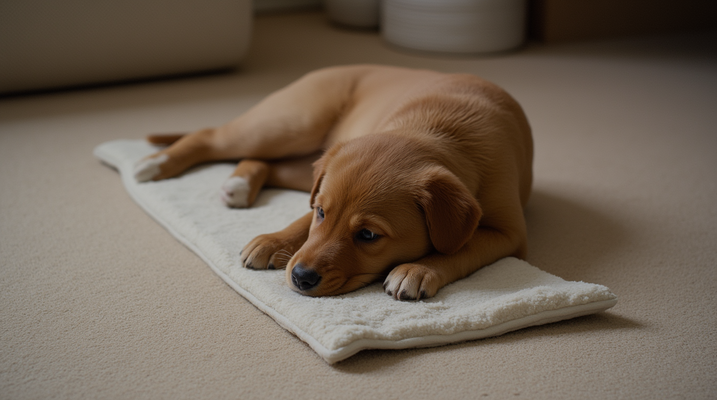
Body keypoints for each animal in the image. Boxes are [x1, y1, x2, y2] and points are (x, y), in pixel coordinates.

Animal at [137, 64, 536, 298]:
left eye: (368, 235)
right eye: (322, 213)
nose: (300, 277)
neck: (438, 129)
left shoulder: (509, 234)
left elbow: (462, 249)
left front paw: (419, 269)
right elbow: (301, 220)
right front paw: (274, 240)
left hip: (306, 157)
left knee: (270, 162)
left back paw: (237, 185)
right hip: (291, 122)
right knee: (211, 136)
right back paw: (155, 164)